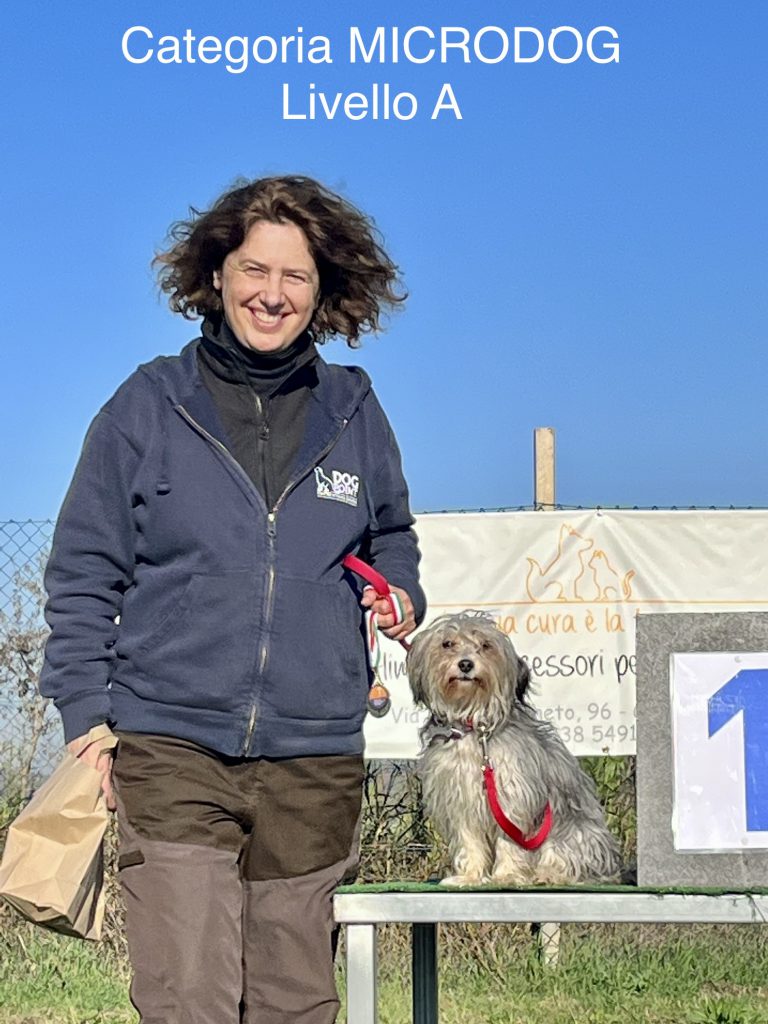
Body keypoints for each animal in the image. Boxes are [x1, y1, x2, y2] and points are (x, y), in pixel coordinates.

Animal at [407, 612, 621, 886]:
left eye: (485, 645)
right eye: (447, 644)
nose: (465, 664)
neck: (475, 728)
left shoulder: (513, 798)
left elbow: (510, 842)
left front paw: (507, 875)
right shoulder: (461, 801)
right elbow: (470, 843)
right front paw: (470, 876)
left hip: (572, 832)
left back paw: (548, 875)